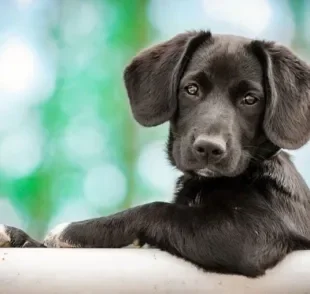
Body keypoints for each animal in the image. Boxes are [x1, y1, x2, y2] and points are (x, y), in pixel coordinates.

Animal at [0, 31, 310, 276]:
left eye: (250, 99)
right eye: (191, 89)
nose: (209, 148)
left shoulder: (254, 234)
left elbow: (157, 209)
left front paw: (73, 231)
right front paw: (20, 238)